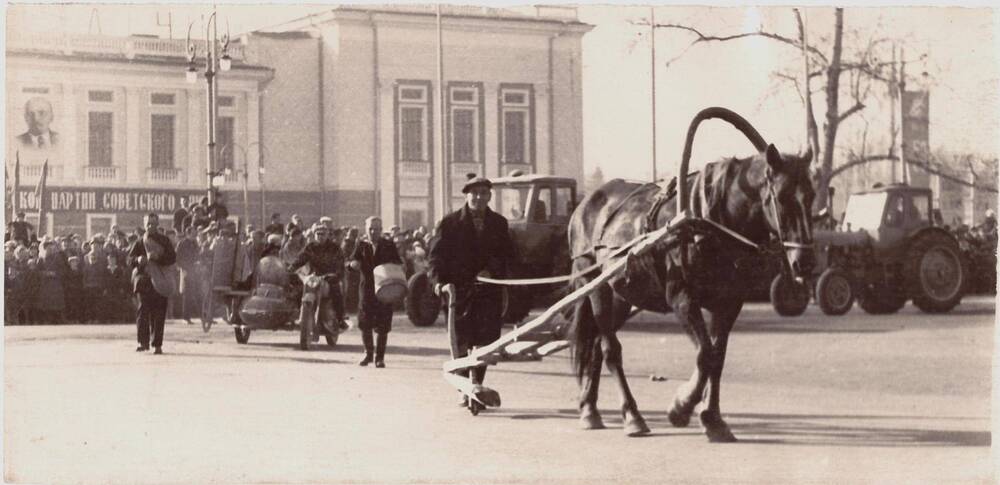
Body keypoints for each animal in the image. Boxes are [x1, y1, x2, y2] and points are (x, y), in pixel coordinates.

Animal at [568, 108, 816, 440]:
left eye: (811, 196)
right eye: (782, 196)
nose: (805, 261)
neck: (709, 223)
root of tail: (584, 204)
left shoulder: (729, 303)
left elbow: (717, 357)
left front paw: (713, 418)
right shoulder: (682, 298)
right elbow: (704, 355)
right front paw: (682, 406)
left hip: (623, 295)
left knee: (595, 346)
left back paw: (590, 409)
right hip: (596, 287)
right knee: (610, 349)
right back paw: (632, 415)